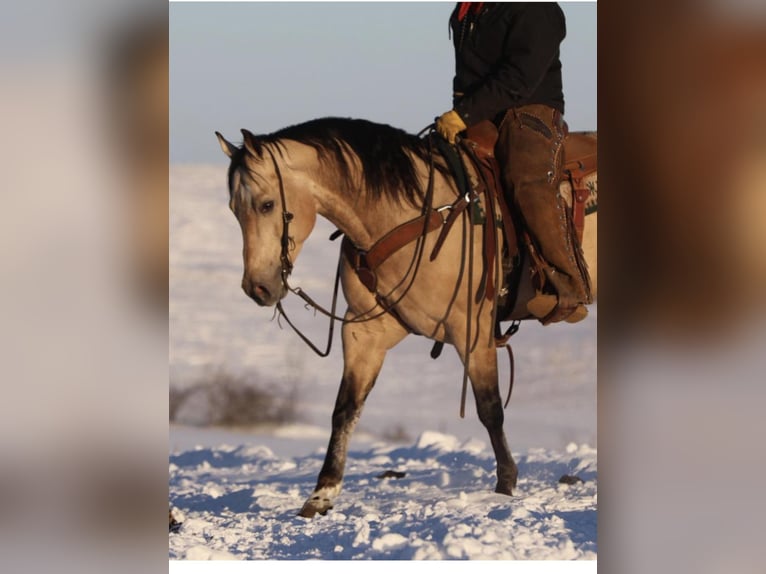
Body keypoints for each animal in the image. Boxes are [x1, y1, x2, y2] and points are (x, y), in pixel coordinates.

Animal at [216, 119, 600, 520]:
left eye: (267, 204)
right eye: (233, 208)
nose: (258, 287)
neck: (409, 215)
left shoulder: (472, 329)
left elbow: (490, 408)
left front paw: (504, 488)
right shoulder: (363, 330)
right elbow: (345, 408)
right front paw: (322, 494)